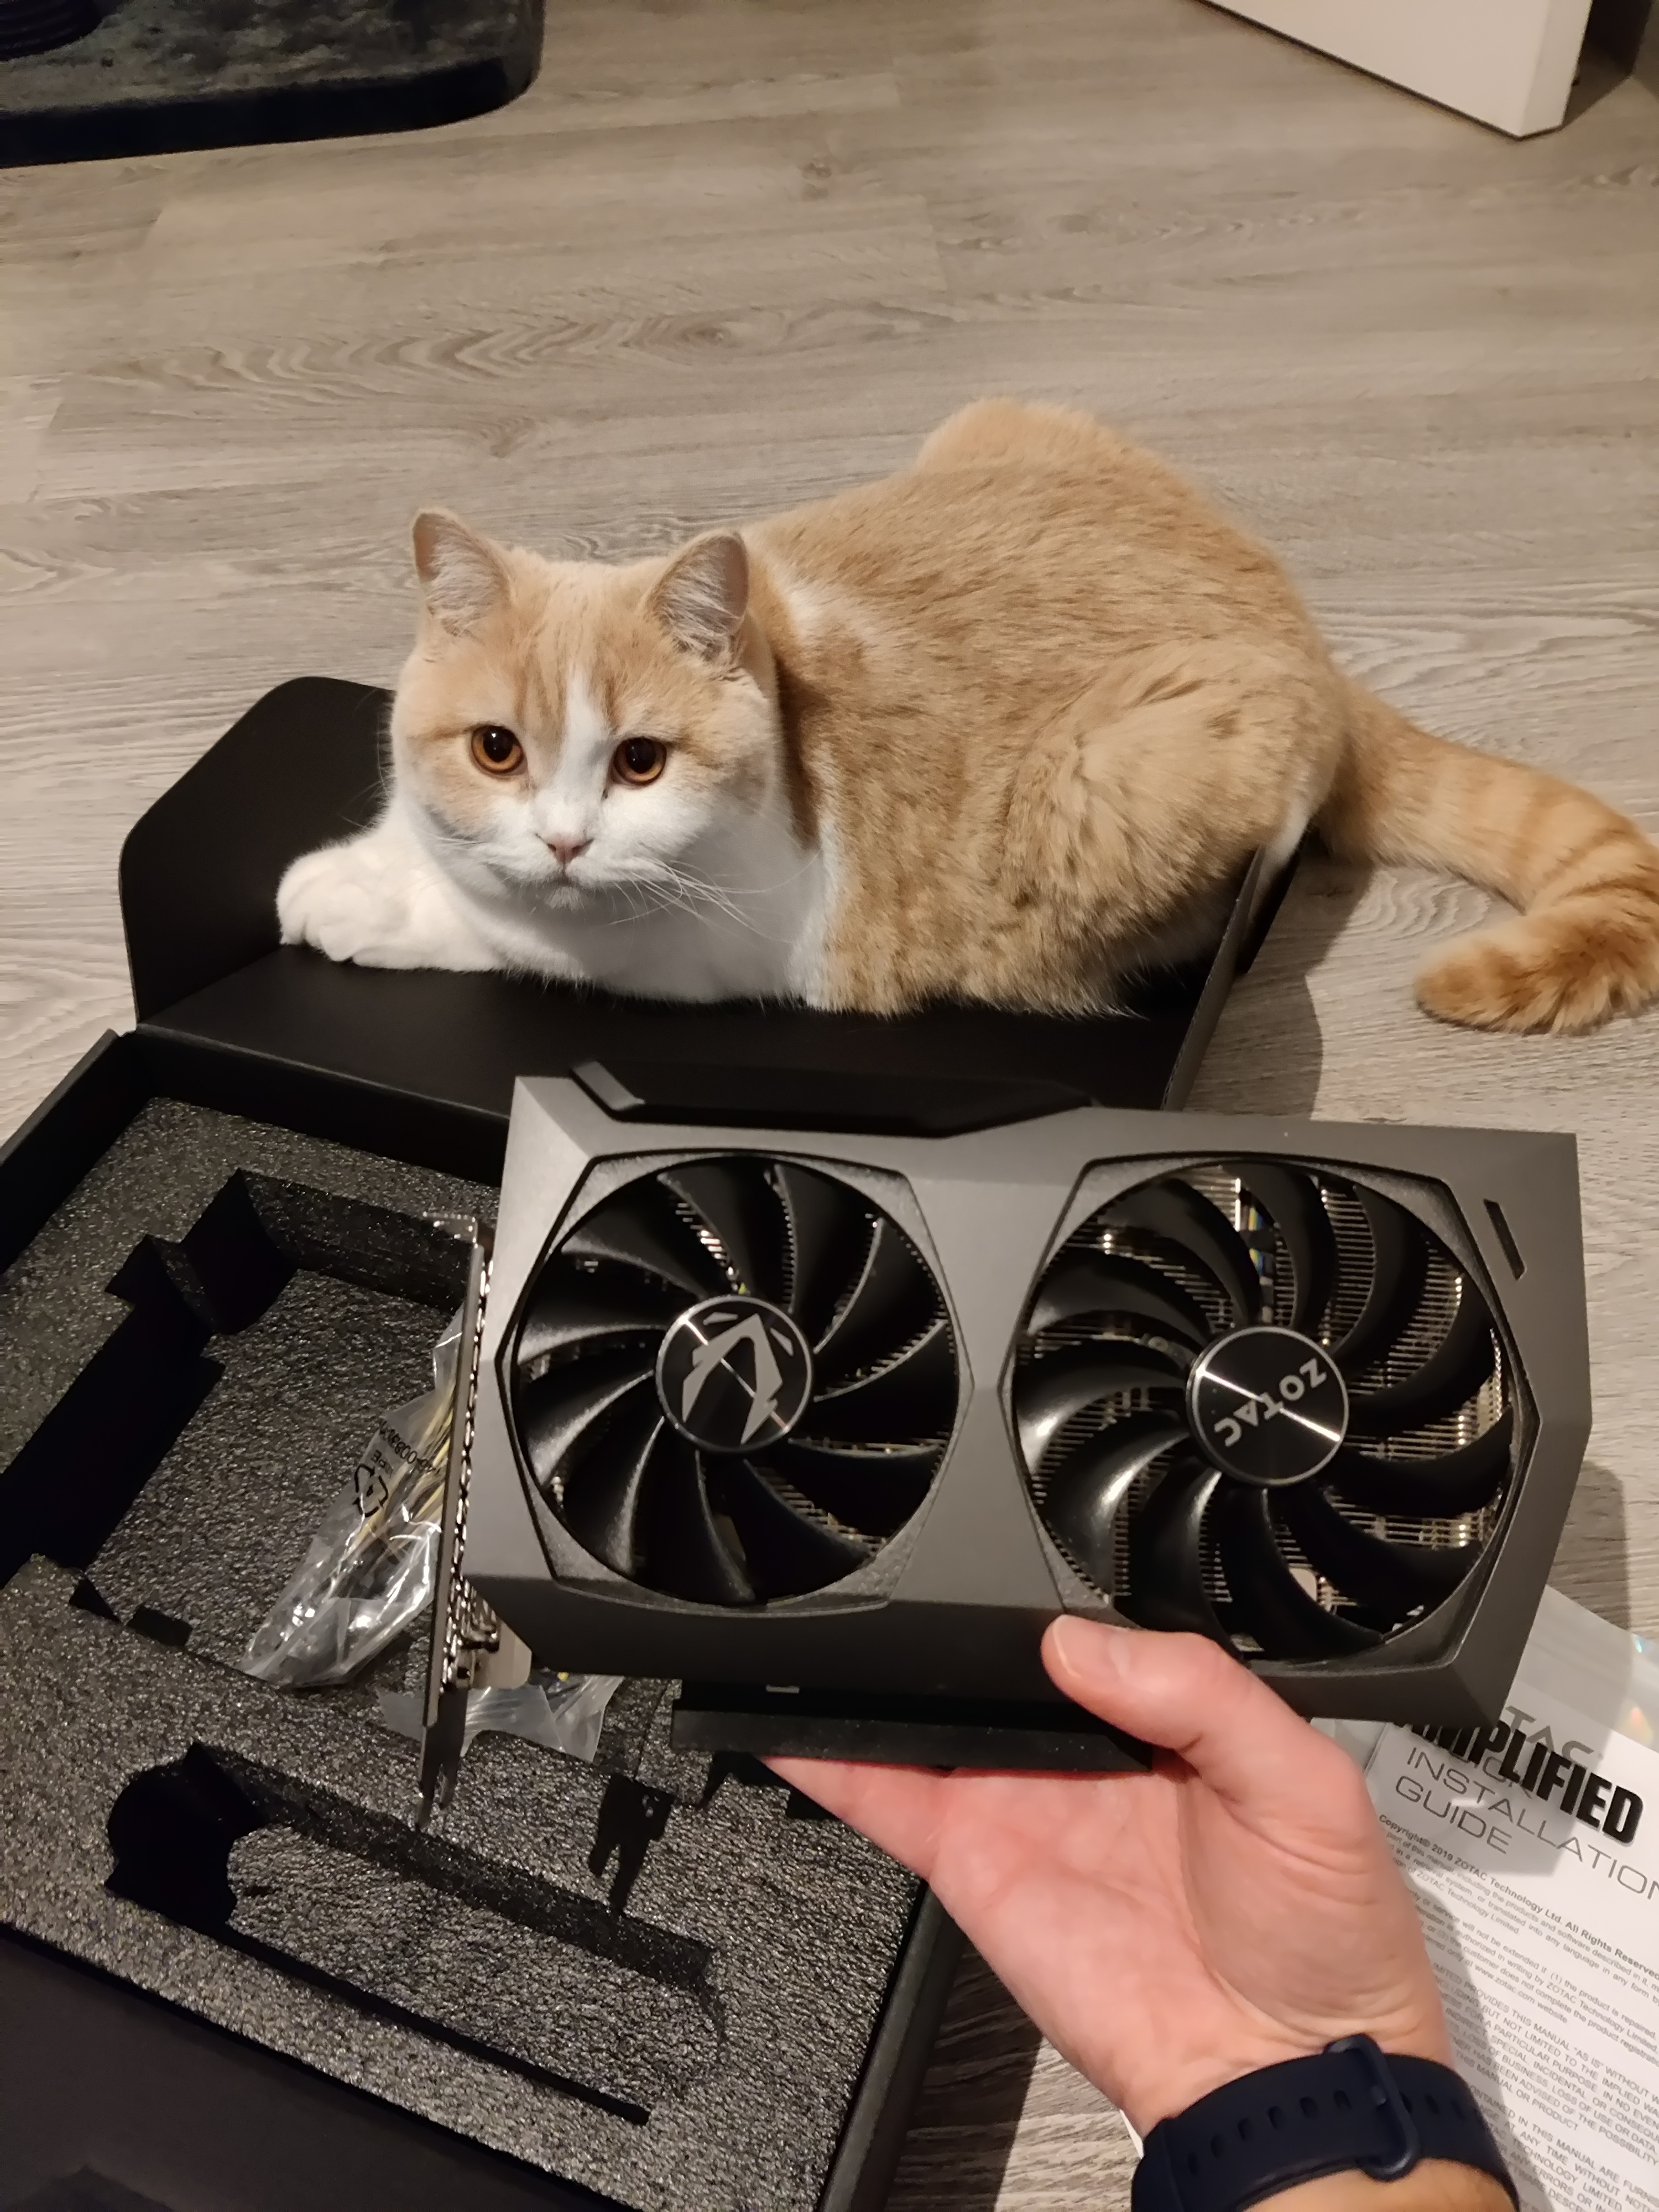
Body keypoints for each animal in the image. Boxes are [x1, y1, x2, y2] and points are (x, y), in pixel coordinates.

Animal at [278, 399, 1659, 1033]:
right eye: (498, 747)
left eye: (641, 761)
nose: (565, 840)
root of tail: (1311, 640)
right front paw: (367, 860)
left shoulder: (711, 946)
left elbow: (507, 929)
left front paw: (365, 904)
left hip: (1137, 771)